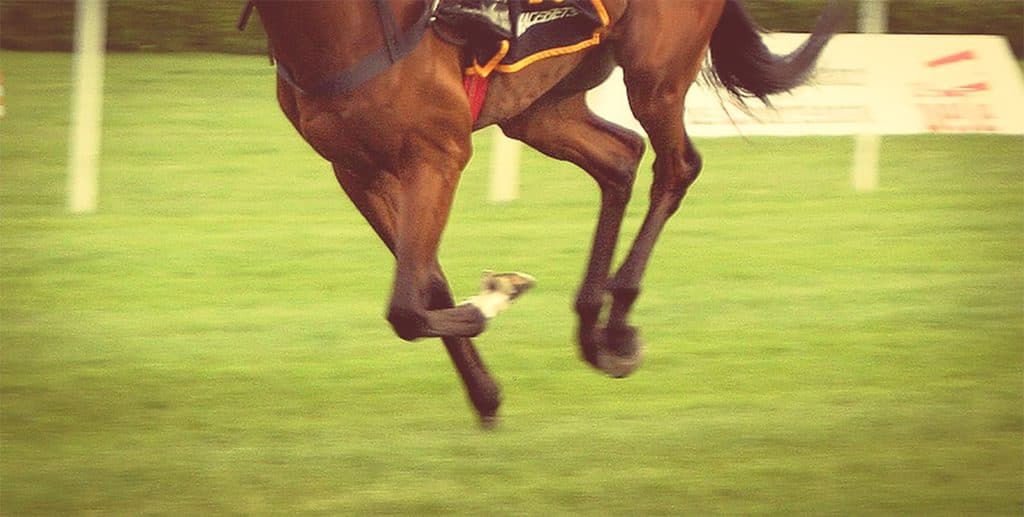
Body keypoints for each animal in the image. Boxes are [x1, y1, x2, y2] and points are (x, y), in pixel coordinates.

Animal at [243, 0, 841, 426]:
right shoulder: (357, 171)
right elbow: (426, 287)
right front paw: (485, 393)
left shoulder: (436, 155)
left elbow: (407, 309)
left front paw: (497, 294)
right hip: (540, 108)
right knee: (620, 159)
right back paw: (592, 326)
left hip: (656, 75)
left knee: (675, 168)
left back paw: (617, 327)